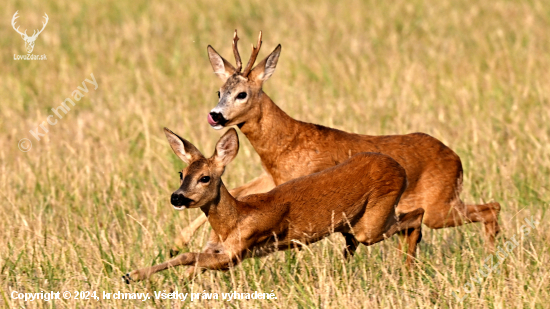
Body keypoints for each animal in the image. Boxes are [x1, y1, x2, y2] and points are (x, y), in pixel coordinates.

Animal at [124, 127, 426, 282]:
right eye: (181, 173)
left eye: (205, 177)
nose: (177, 197)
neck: (234, 220)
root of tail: (398, 167)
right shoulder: (218, 247)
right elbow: (190, 262)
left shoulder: (237, 253)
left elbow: (188, 256)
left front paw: (134, 275)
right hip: (355, 224)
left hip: (372, 222)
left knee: (416, 215)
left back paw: (409, 267)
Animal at [171, 30, 500, 255]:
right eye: (219, 91)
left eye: (242, 94)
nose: (215, 115)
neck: (287, 143)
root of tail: (456, 159)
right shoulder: (272, 177)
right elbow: (238, 191)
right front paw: (180, 242)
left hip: (438, 204)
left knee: (490, 207)